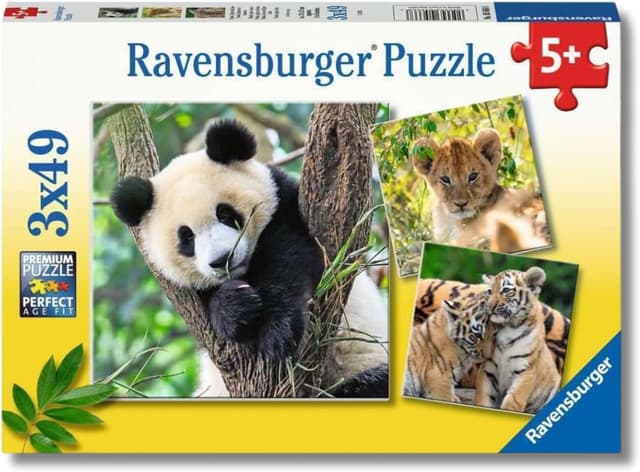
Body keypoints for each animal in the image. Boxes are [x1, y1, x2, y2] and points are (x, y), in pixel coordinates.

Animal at [110, 119, 388, 398]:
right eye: (186, 237)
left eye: (225, 213)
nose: (222, 259)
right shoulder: (189, 295)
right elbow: (208, 307)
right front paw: (235, 307)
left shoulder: (286, 207)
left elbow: (291, 258)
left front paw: (278, 331)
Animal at [474, 267, 561, 413]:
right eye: (490, 291)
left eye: (506, 290)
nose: (489, 306)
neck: (506, 327)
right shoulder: (488, 369)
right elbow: (483, 398)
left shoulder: (525, 370)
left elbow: (513, 402)